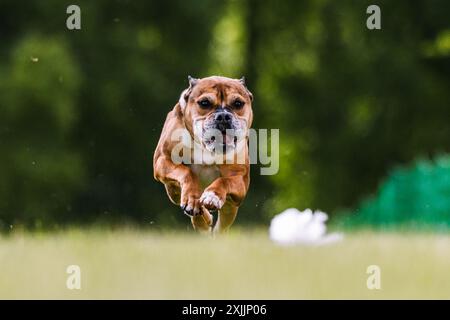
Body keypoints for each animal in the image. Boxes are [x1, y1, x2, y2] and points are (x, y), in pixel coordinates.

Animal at [153, 76, 253, 234]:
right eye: (204, 103)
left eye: (238, 103)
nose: (223, 116)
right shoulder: (163, 161)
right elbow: (186, 172)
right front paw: (193, 200)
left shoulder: (240, 179)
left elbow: (224, 181)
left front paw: (212, 196)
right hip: (172, 190)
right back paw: (201, 216)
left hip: (231, 207)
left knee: (222, 224)